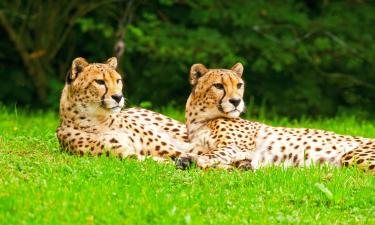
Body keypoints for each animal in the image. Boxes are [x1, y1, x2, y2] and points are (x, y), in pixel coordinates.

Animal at [58, 57, 197, 163]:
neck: (100, 120)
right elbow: (155, 161)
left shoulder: (165, 147)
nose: (118, 97)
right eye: (100, 81)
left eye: (118, 80)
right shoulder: (125, 155)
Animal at [182, 62, 375, 173]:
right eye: (218, 86)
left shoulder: (235, 147)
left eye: (239, 85)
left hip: (353, 156)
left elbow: (211, 154)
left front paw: (195, 161)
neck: (200, 121)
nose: (236, 101)